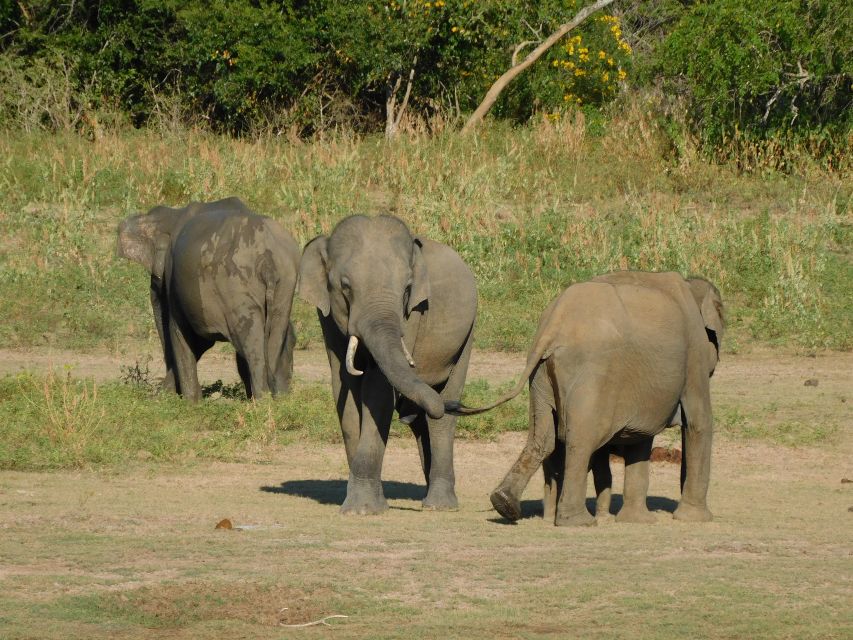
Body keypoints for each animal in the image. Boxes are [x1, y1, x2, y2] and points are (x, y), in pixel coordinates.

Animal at [117, 198, 300, 402]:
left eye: (157, 280)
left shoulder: (175, 282)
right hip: (284, 285)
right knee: (273, 338)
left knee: (250, 344)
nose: (160, 395)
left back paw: (261, 401)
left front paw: (191, 403)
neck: (173, 214)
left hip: (235, 288)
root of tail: (267, 259)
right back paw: (273, 401)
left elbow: (182, 333)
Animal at [300, 215, 476, 516]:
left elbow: (379, 391)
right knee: (427, 420)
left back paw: (438, 505)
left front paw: (363, 509)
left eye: (406, 288)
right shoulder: (326, 317)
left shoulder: (414, 312)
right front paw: (361, 507)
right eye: (345, 286)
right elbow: (344, 389)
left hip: (468, 333)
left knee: (442, 416)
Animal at [450, 270, 724, 524]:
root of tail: (555, 324)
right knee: (581, 440)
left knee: (544, 437)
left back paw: (509, 505)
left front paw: (636, 521)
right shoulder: (695, 354)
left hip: (540, 375)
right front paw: (696, 519)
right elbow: (699, 422)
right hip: (593, 374)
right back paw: (577, 521)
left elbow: (641, 437)